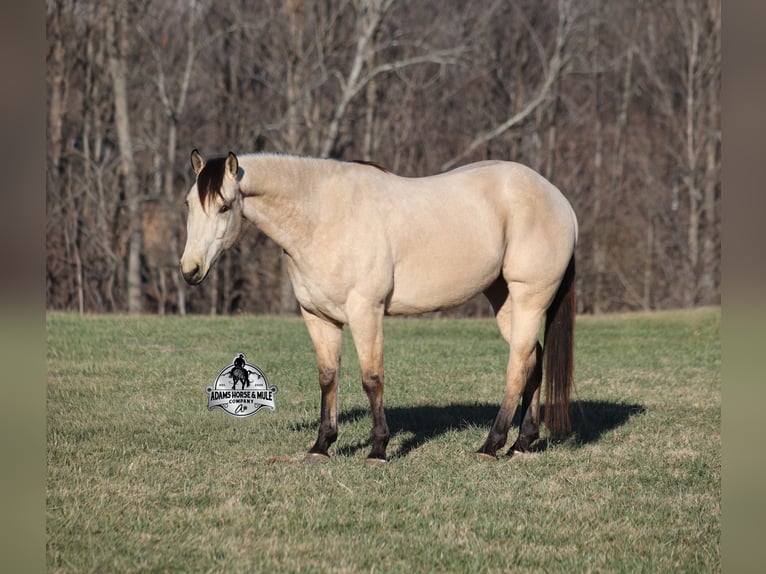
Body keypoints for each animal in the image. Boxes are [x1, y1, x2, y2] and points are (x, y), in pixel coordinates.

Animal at [180, 149, 578, 465]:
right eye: (188, 204)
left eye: (224, 206)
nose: (190, 270)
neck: (323, 216)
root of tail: (560, 201)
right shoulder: (319, 317)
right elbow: (328, 377)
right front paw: (321, 446)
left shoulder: (365, 312)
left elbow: (372, 379)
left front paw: (378, 450)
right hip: (504, 298)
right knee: (532, 359)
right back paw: (522, 444)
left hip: (529, 298)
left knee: (518, 366)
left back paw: (490, 446)